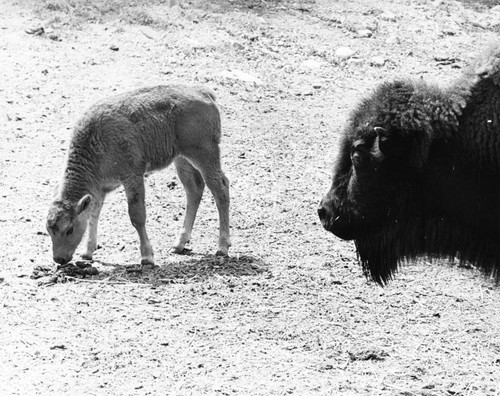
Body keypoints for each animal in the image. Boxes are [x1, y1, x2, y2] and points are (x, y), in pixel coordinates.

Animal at [46, 84, 231, 264]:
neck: (95, 141)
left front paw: (147, 257)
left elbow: (137, 215)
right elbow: (93, 215)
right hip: (182, 159)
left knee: (220, 189)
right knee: (194, 190)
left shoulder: (132, 177)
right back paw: (179, 244)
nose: (59, 259)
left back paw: (222, 247)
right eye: (49, 230)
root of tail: (204, 93)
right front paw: (87, 253)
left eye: (69, 229)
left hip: (204, 155)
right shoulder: (99, 189)